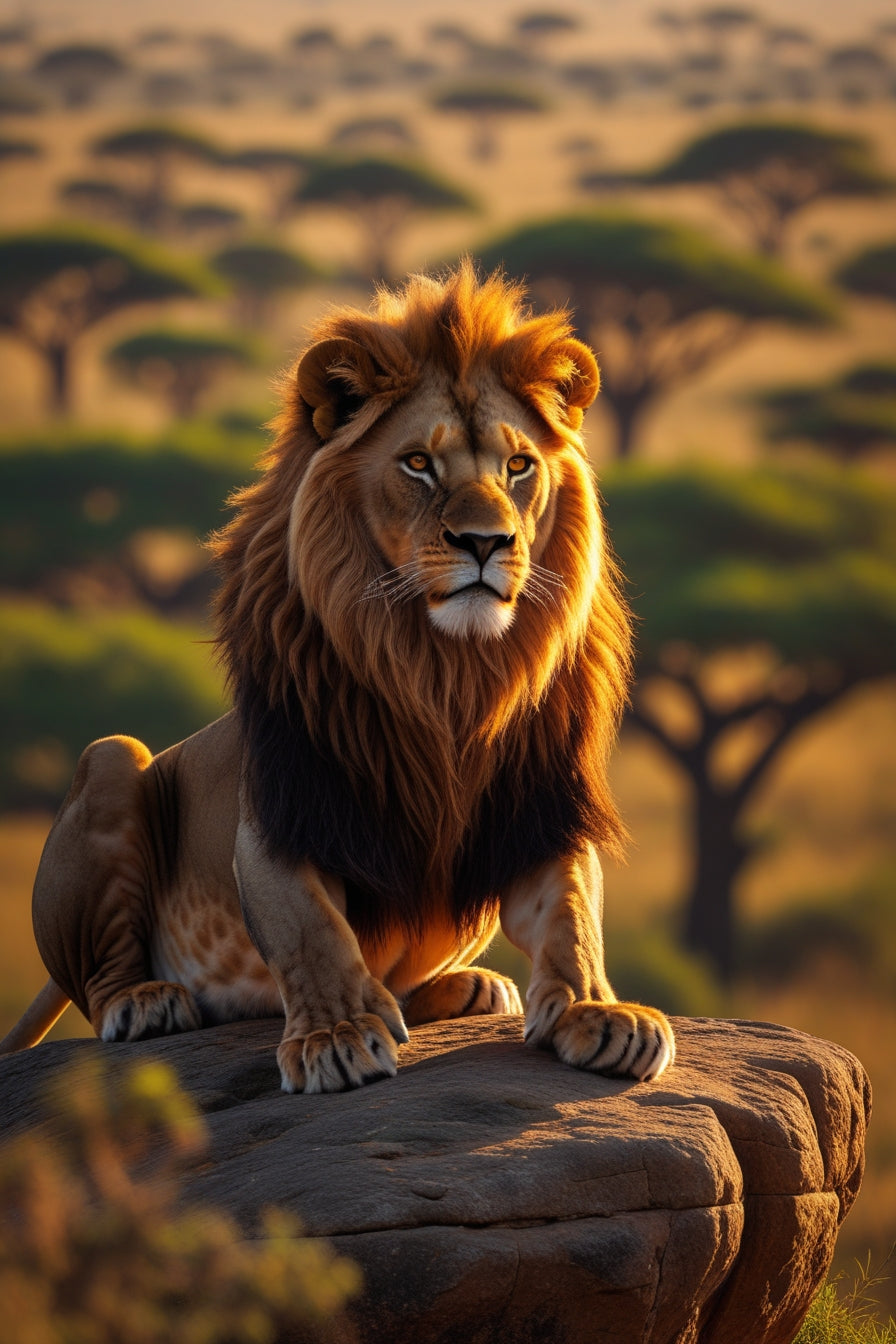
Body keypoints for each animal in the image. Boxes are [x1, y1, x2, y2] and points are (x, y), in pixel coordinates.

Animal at [0, 262, 675, 1092]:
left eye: (520, 467)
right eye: (418, 463)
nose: (486, 542)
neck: (447, 674)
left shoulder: (539, 806)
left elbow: (573, 915)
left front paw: (598, 1013)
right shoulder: (286, 809)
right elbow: (311, 929)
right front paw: (338, 1034)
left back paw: (472, 987)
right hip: (111, 759)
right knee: (101, 979)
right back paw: (146, 999)